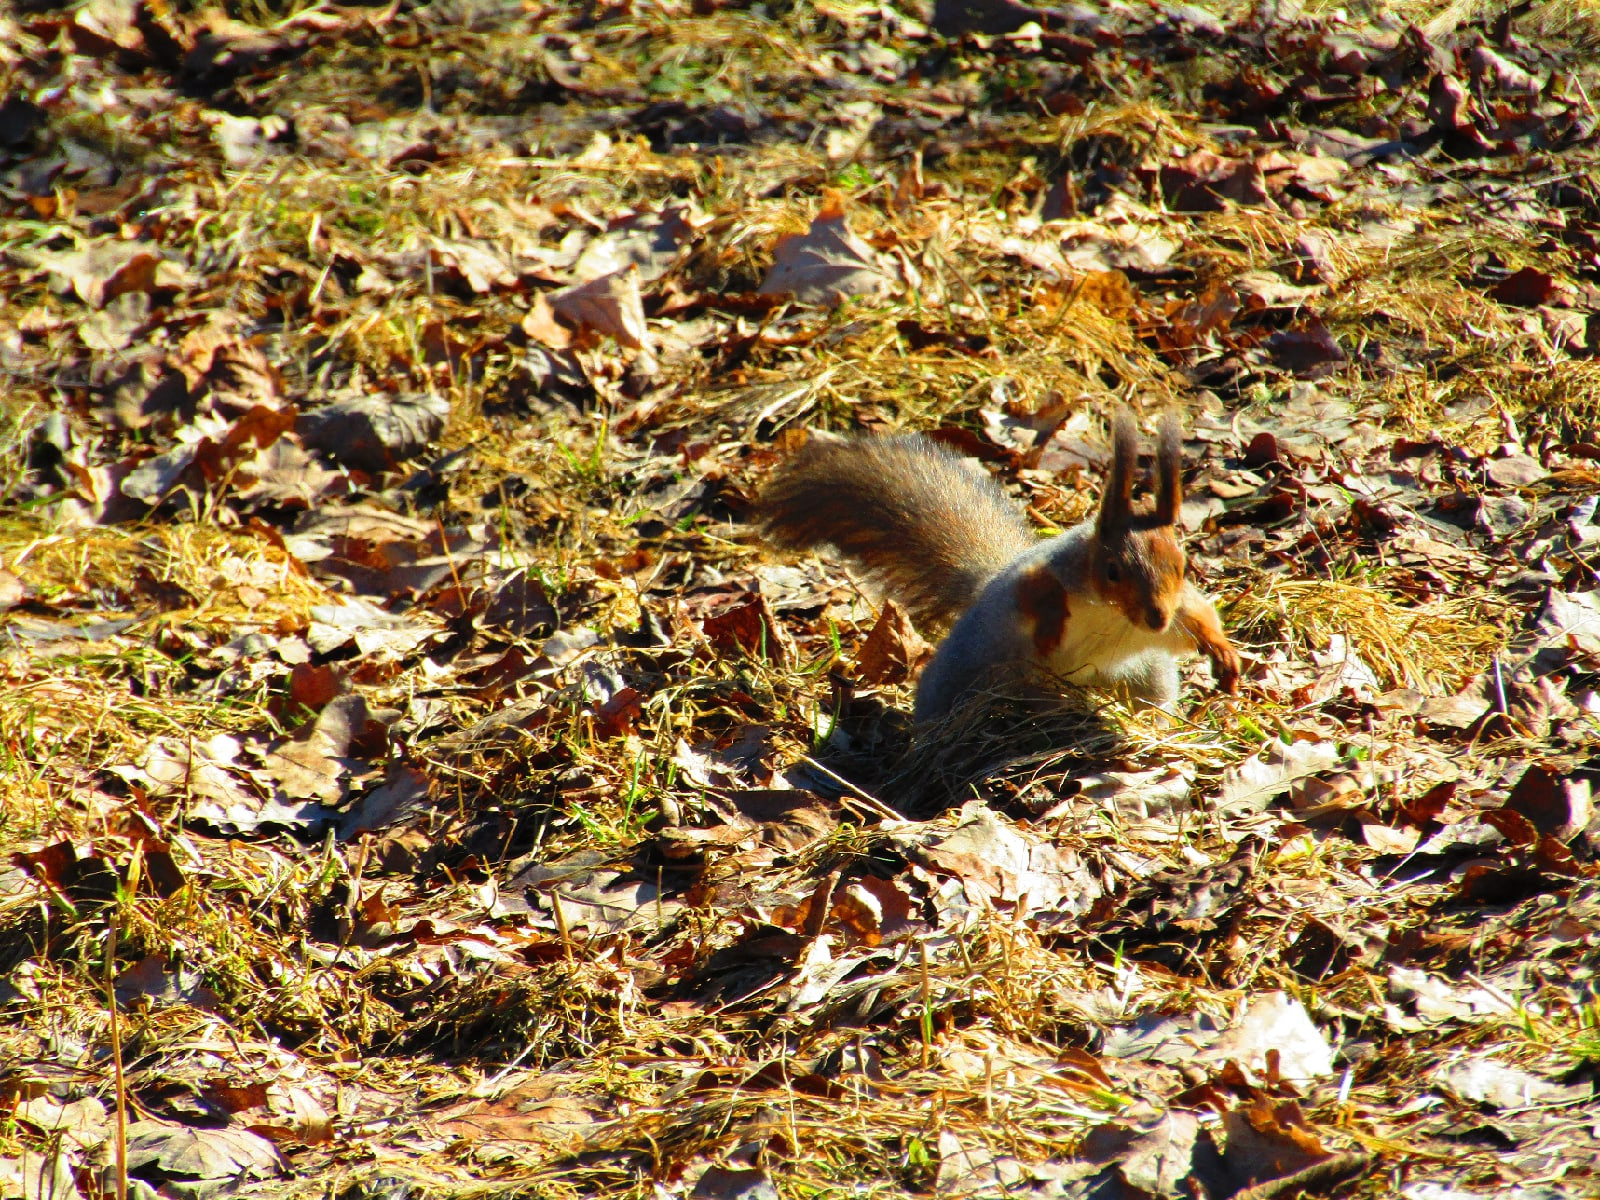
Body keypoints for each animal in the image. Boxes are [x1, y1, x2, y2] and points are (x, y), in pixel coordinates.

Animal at [758, 411, 1240, 724]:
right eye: (1112, 571)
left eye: (1182, 565)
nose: (1156, 618)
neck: (1113, 614)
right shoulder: (1045, 575)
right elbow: (1036, 592)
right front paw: (1050, 628)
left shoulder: (1174, 613)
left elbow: (1199, 616)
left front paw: (1224, 655)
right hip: (961, 674)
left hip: (1145, 673)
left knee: (1154, 697)